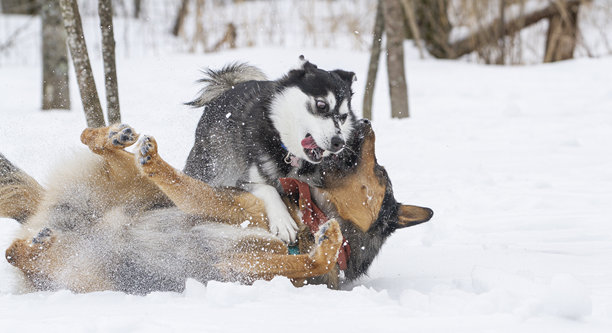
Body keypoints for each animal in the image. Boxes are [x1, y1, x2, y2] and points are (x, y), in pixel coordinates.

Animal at [186, 57, 358, 243]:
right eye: (321, 105)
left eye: (344, 117)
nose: (339, 143)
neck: (286, 151)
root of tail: (228, 88)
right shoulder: (244, 182)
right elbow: (269, 190)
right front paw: (283, 222)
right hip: (210, 168)